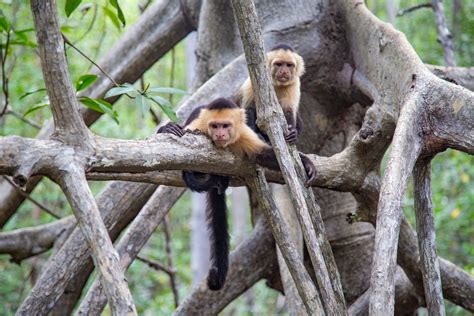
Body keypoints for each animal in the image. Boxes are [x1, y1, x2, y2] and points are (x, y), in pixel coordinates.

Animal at [157, 97, 316, 290]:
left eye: (226, 126)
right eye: (214, 126)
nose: (219, 135)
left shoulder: (244, 134)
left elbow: (265, 155)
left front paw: (306, 163)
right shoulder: (199, 127)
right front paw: (168, 129)